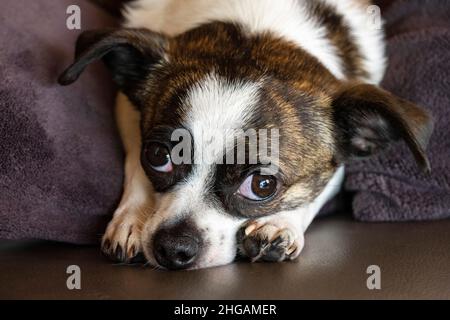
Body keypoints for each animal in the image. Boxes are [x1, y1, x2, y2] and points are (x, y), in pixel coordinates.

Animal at [58, 0, 430, 270]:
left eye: (262, 185)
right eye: (158, 157)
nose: (173, 247)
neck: (258, 30)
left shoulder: (341, 162)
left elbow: (317, 190)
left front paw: (280, 224)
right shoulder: (125, 110)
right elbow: (133, 164)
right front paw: (133, 217)